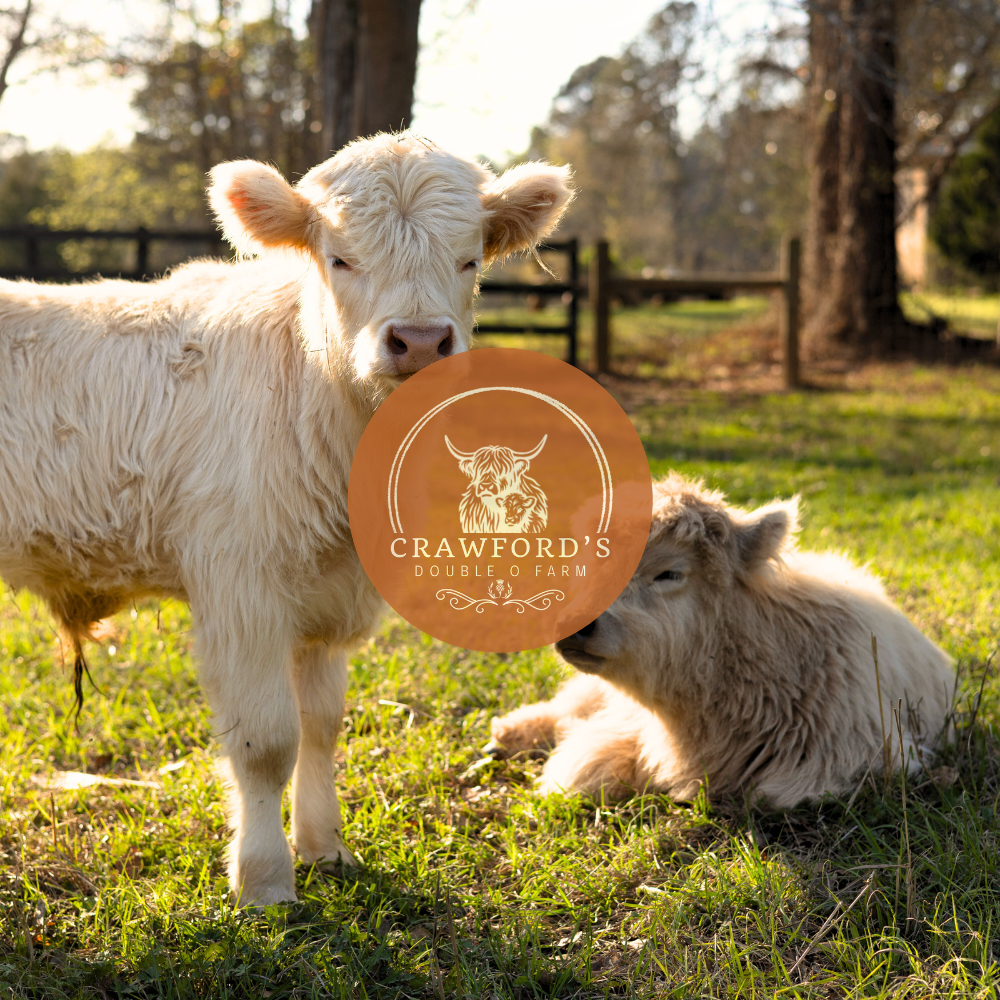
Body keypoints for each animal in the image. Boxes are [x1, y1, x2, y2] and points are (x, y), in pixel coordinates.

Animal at [0, 132, 574, 905]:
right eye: (341, 258)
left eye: (470, 259)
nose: (421, 341)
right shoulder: (240, 587)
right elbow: (267, 741)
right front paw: (266, 879)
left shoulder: (325, 599)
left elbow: (321, 727)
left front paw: (324, 846)